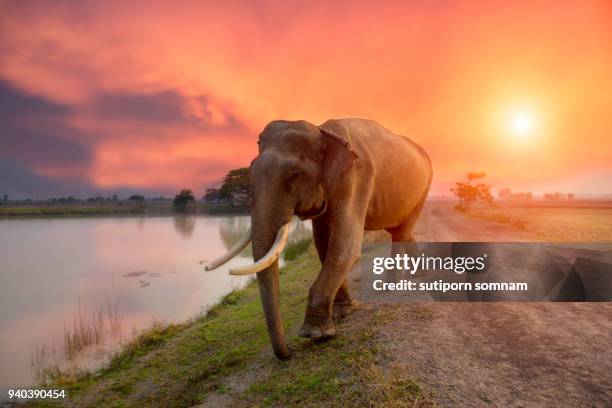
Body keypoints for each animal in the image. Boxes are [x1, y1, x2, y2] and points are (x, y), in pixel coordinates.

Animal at [208, 117, 432, 356]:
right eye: (251, 168)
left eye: (294, 175)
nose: (289, 353)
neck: (323, 132)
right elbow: (324, 244)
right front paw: (343, 313)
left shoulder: (356, 178)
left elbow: (345, 247)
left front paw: (316, 334)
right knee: (401, 230)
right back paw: (419, 273)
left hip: (424, 187)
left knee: (401, 231)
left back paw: (392, 285)